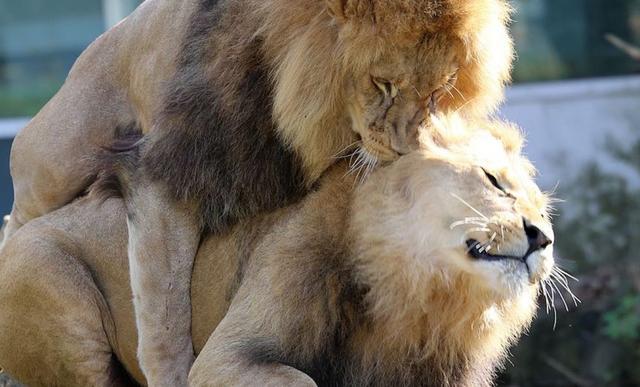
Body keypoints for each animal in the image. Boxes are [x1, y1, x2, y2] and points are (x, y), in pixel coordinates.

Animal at [0, 116, 552, 386]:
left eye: (543, 209)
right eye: (495, 182)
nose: (542, 238)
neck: (418, 298)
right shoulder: (226, 357)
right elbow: (299, 380)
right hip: (53, 292)